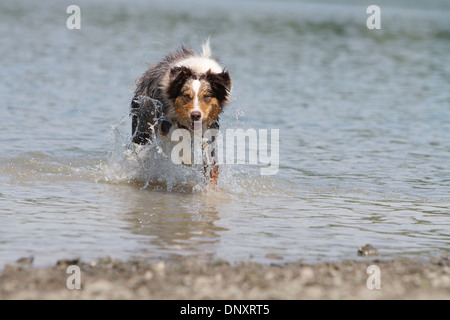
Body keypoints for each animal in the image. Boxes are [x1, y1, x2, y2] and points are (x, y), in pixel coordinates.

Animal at [128, 40, 230, 185]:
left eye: (206, 96)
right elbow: (180, 138)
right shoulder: (165, 119)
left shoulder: (210, 126)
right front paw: (188, 159)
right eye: (186, 95)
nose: (195, 115)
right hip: (145, 121)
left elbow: (211, 162)